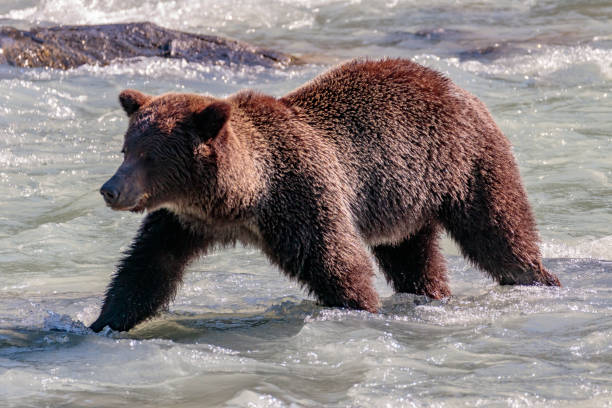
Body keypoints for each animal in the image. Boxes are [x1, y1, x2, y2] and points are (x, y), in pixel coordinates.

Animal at [89, 59, 560, 334]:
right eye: (126, 149)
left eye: (149, 156)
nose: (110, 189)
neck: (242, 200)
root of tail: (452, 84)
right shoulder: (182, 220)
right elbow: (148, 269)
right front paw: (101, 323)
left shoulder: (301, 198)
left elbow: (337, 263)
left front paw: (362, 309)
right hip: (404, 197)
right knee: (413, 256)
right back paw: (433, 293)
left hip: (465, 162)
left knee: (498, 229)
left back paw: (539, 278)